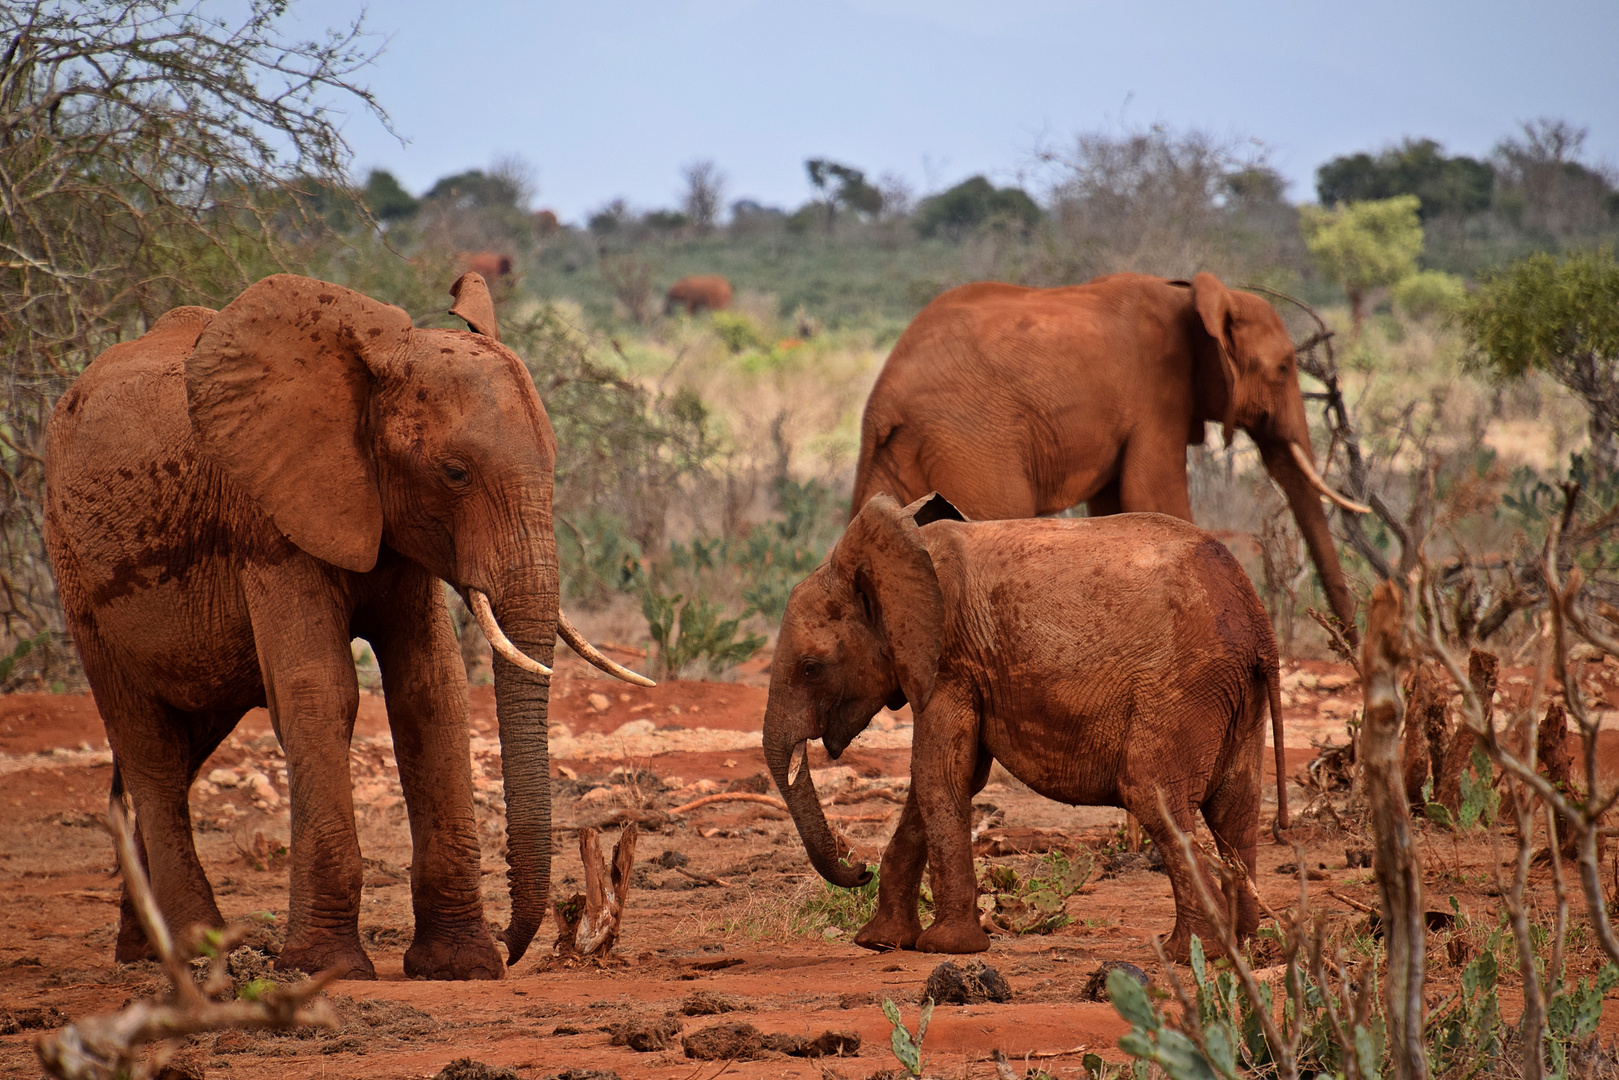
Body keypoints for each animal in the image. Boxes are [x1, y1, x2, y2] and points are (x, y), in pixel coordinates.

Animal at [44, 270, 650, 977]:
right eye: (455, 473)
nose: (514, 943)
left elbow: (430, 689)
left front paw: (459, 965)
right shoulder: (270, 519)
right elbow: (321, 690)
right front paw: (321, 967)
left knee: (182, 743)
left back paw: (143, 951)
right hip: (76, 575)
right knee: (151, 749)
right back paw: (202, 950)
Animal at [764, 495, 1282, 958]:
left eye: (810, 668)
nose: (858, 868)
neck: (900, 555)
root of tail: (1258, 619)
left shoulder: (950, 662)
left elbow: (939, 775)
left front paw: (946, 949)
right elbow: (945, 778)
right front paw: (881, 943)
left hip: (1182, 684)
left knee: (1153, 795)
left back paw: (1188, 951)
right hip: (1233, 691)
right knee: (1234, 805)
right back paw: (1242, 942)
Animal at [854, 270, 1372, 641]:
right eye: (1284, 368)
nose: (1347, 641)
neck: (1197, 295)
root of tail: (882, 398)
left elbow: (1118, 511)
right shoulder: (1158, 398)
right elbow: (1155, 499)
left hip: (898, 453)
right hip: (974, 442)